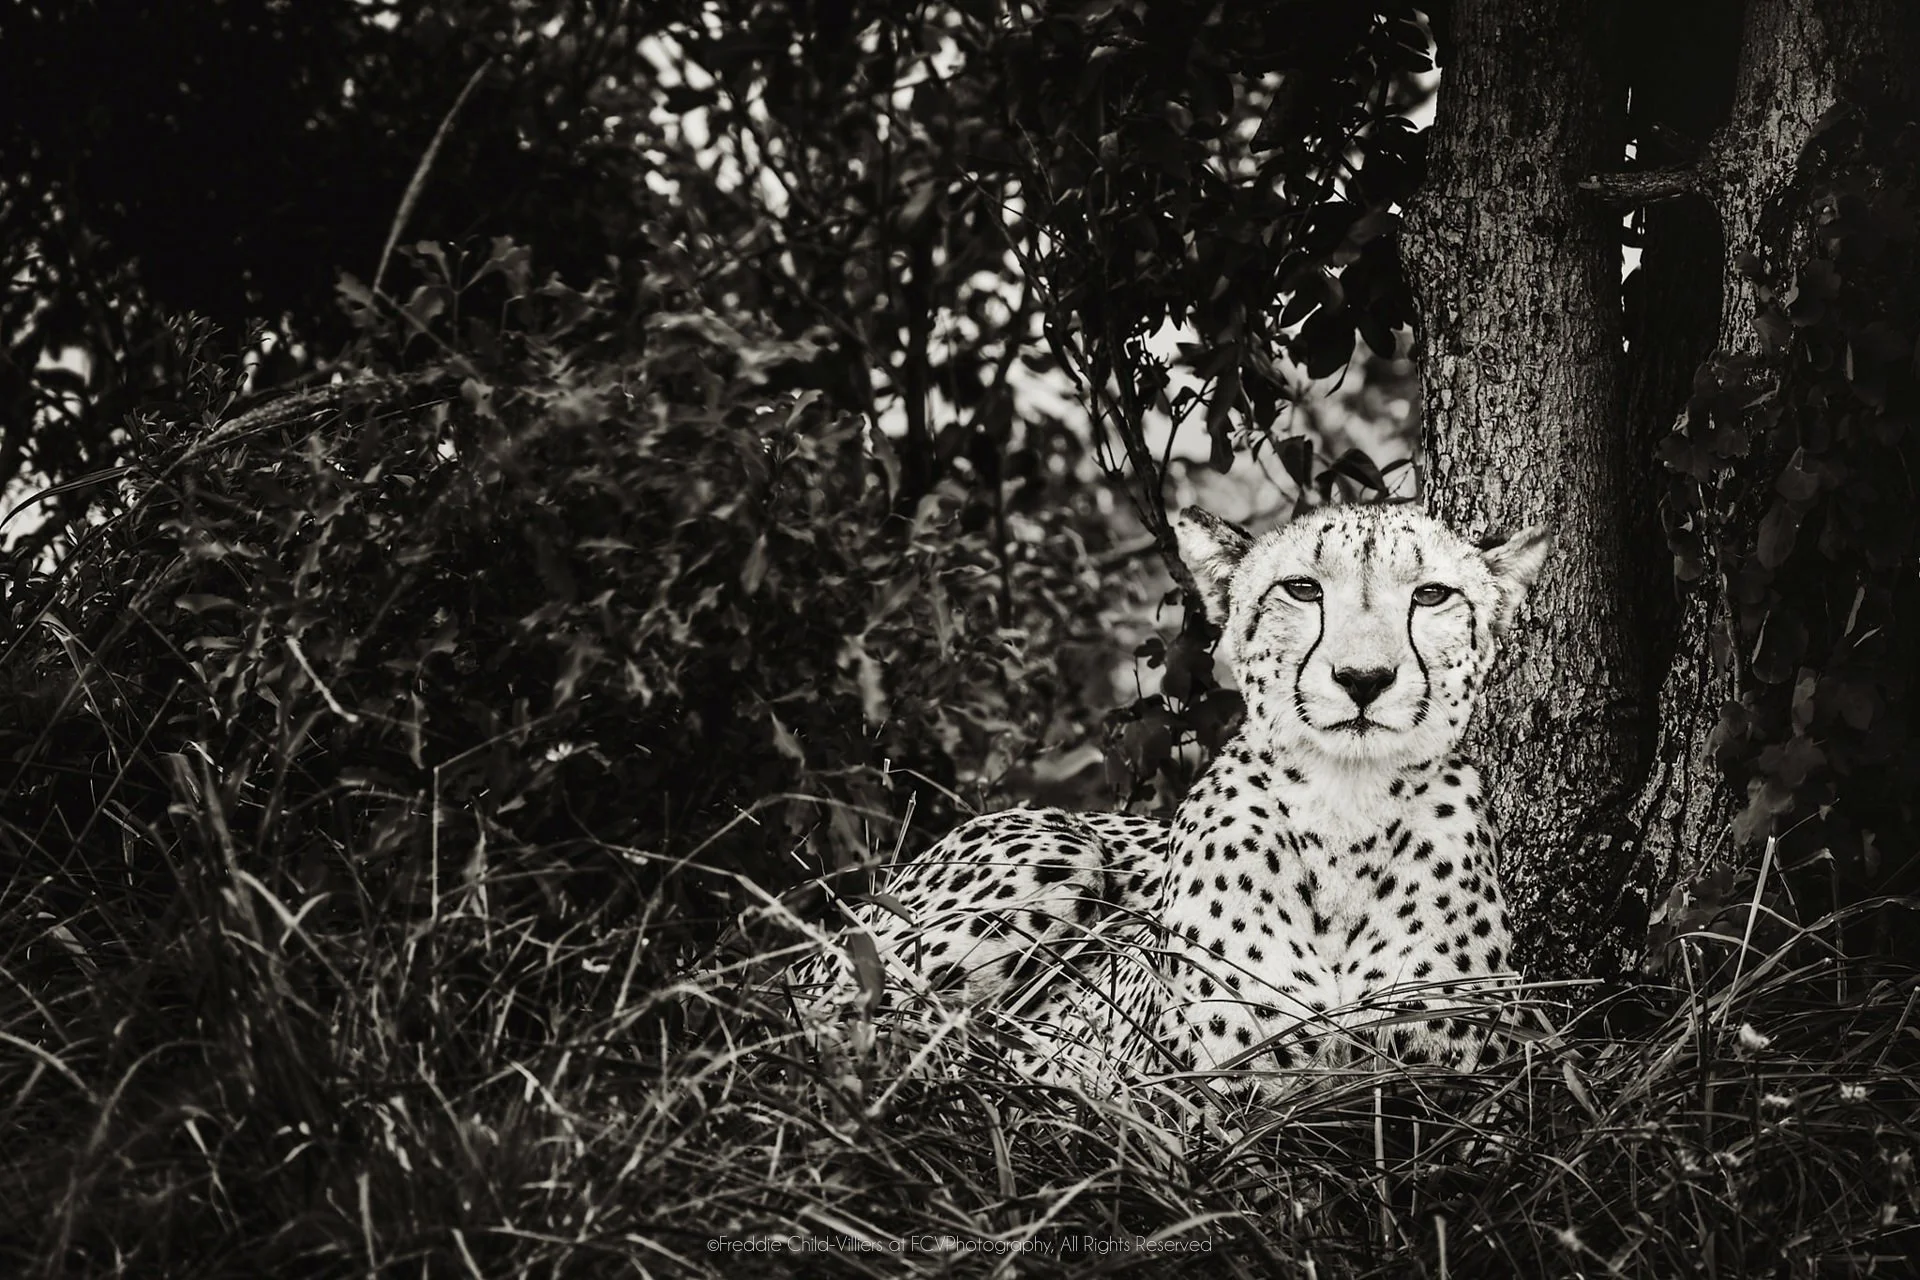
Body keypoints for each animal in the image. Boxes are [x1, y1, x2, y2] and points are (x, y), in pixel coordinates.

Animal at [777, 501, 1551, 1099]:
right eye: (1303, 590)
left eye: (1431, 596)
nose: (1364, 678)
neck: (1344, 813)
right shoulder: (1171, 1098)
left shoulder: (1451, 1105)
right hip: (1057, 851)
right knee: (832, 1030)